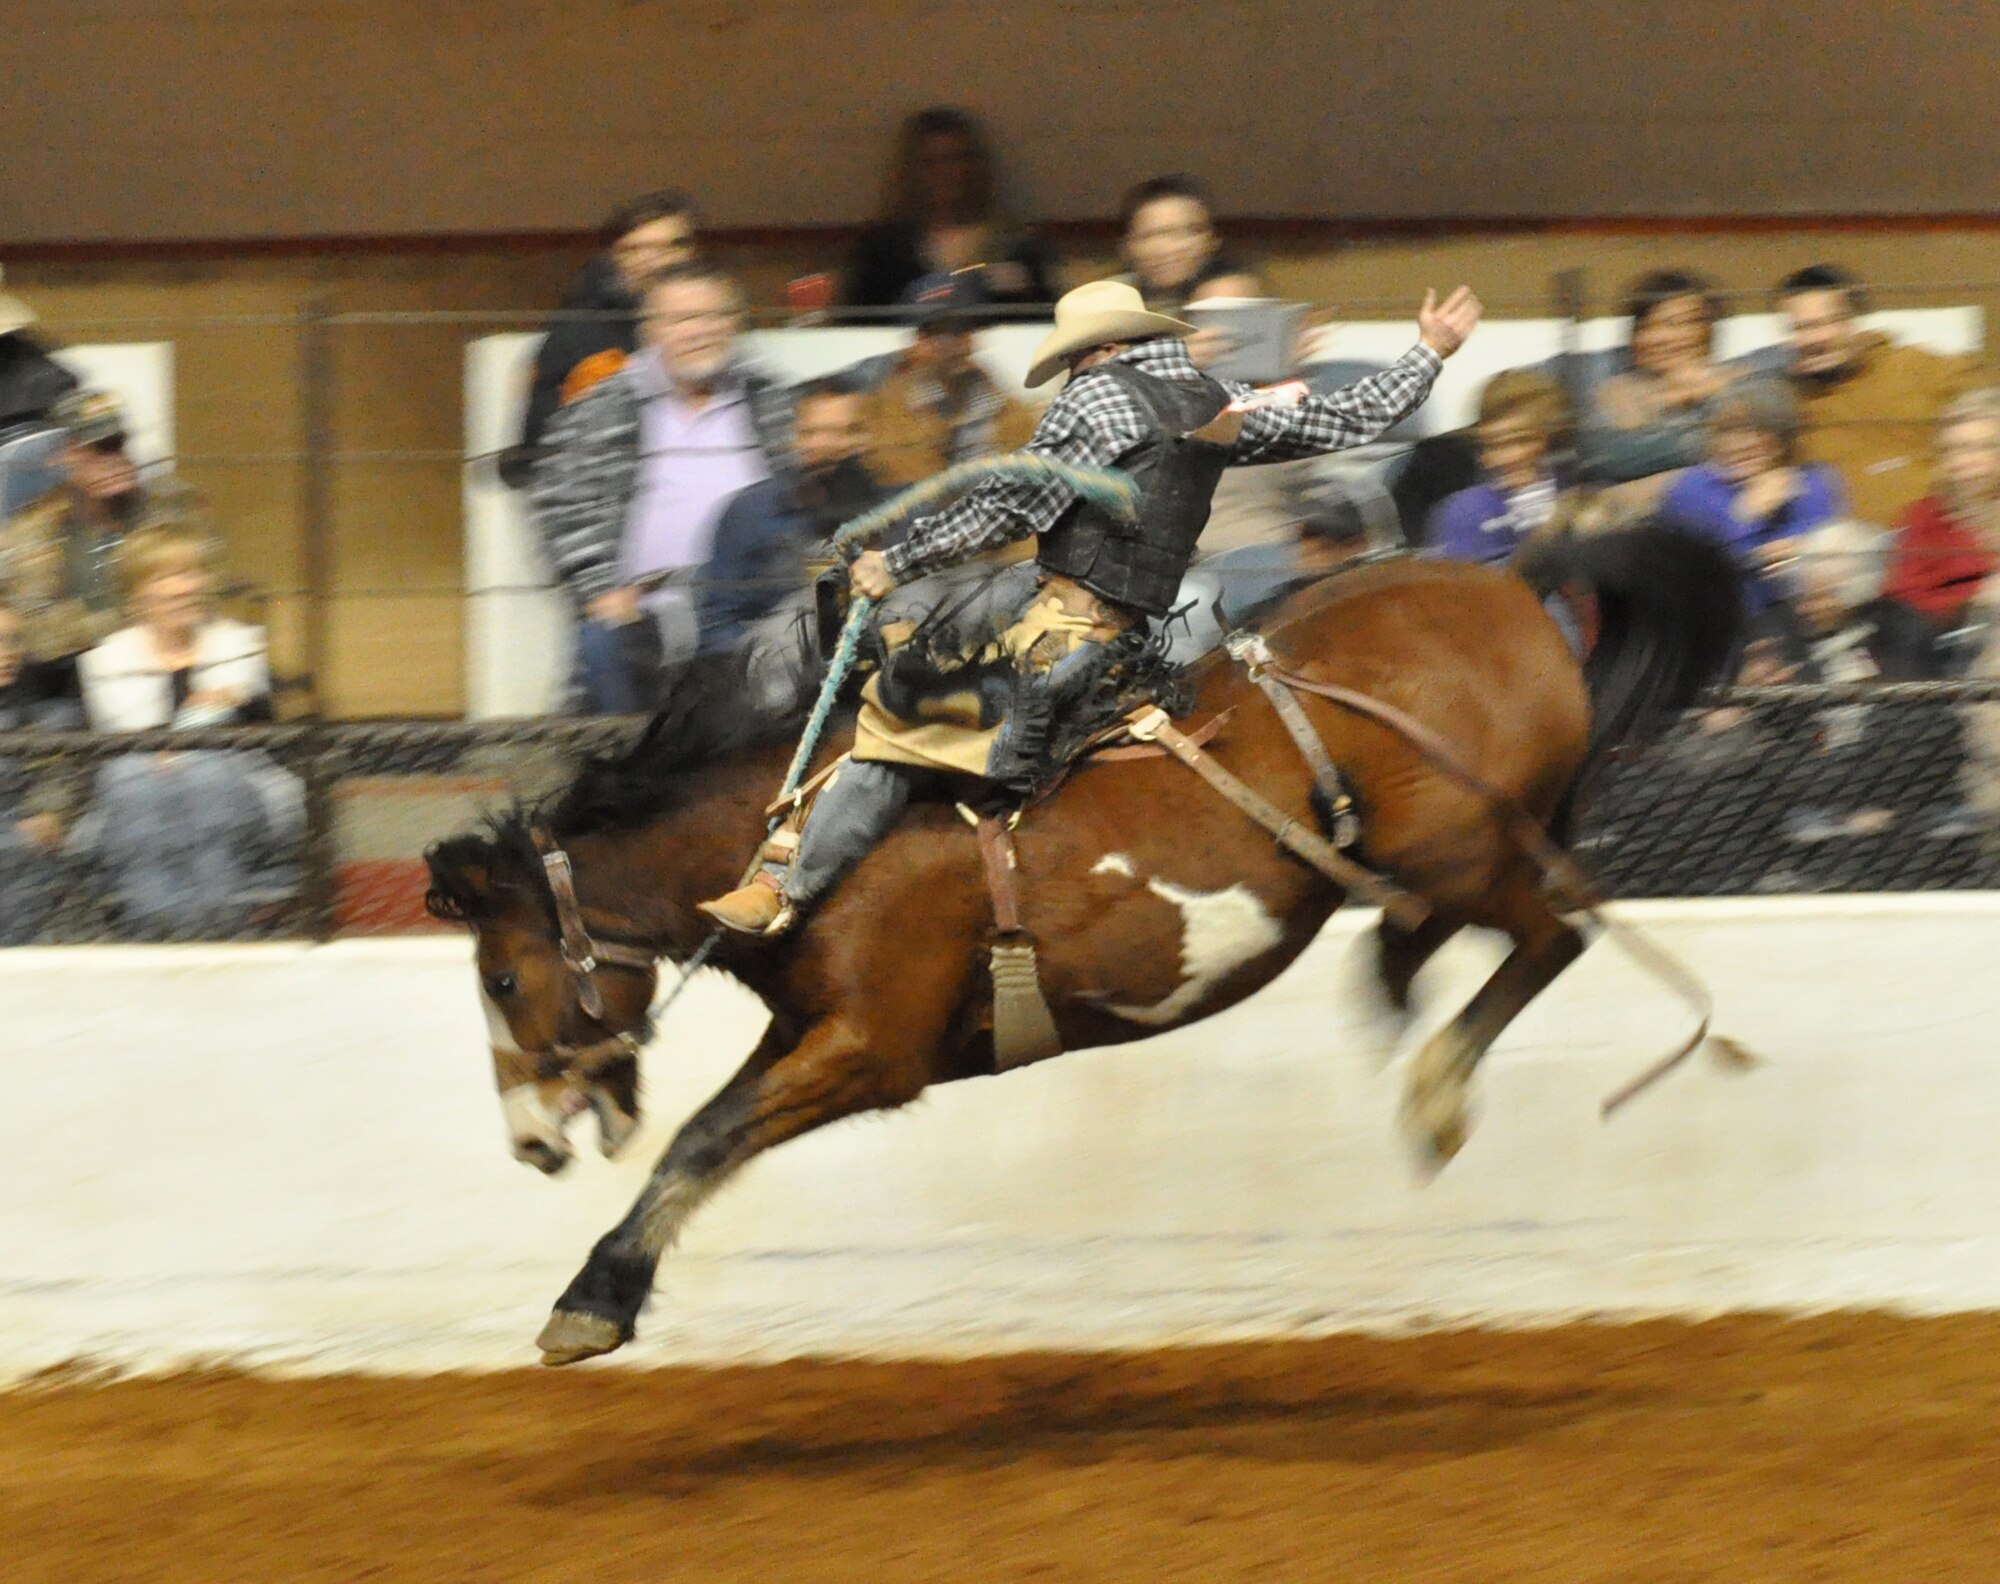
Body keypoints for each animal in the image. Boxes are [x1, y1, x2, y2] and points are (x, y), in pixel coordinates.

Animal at [430, 524, 1744, 1368]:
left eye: (501, 973)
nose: (530, 1142)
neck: (803, 833)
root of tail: (1509, 585)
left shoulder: (871, 1049)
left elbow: (702, 1141)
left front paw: (591, 1300)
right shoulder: (816, 1033)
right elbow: (705, 1138)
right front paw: (600, 1292)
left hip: (1468, 850)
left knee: (1551, 933)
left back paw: (1434, 1087)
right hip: (1448, 857)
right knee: (1463, 934)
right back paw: (1401, 998)